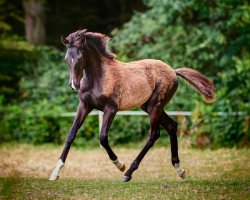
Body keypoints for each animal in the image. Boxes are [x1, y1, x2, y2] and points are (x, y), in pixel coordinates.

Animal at [48, 28, 215, 182]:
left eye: (81, 57)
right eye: (66, 59)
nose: (74, 85)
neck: (98, 78)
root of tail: (173, 71)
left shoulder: (111, 109)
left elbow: (103, 137)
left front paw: (120, 165)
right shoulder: (84, 106)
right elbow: (71, 134)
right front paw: (55, 173)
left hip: (155, 107)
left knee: (153, 135)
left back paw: (128, 173)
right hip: (148, 107)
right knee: (171, 126)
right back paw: (180, 170)